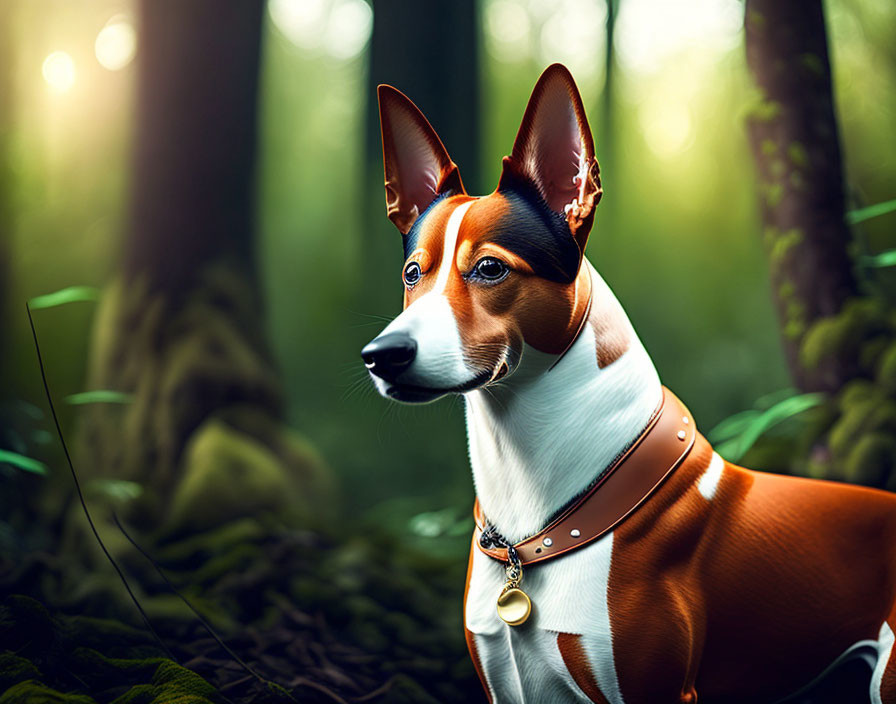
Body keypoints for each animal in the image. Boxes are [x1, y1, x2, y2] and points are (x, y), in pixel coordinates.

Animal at [360, 63, 896, 700]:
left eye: (490, 268)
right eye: (412, 273)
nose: (380, 356)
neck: (531, 530)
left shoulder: (651, 686)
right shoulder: (509, 684)